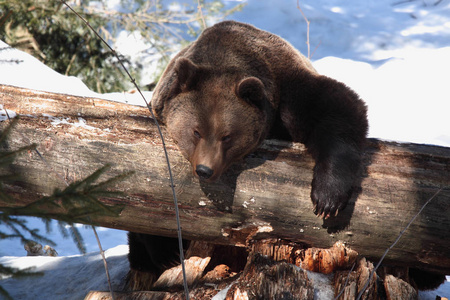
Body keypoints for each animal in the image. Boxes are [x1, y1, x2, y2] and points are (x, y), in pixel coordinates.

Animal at [126, 19, 370, 290]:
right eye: (196, 131)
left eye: (227, 136)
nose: (205, 170)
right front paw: (166, 251)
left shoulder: (287, 89)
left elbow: (338, 109)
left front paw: (327, 199)